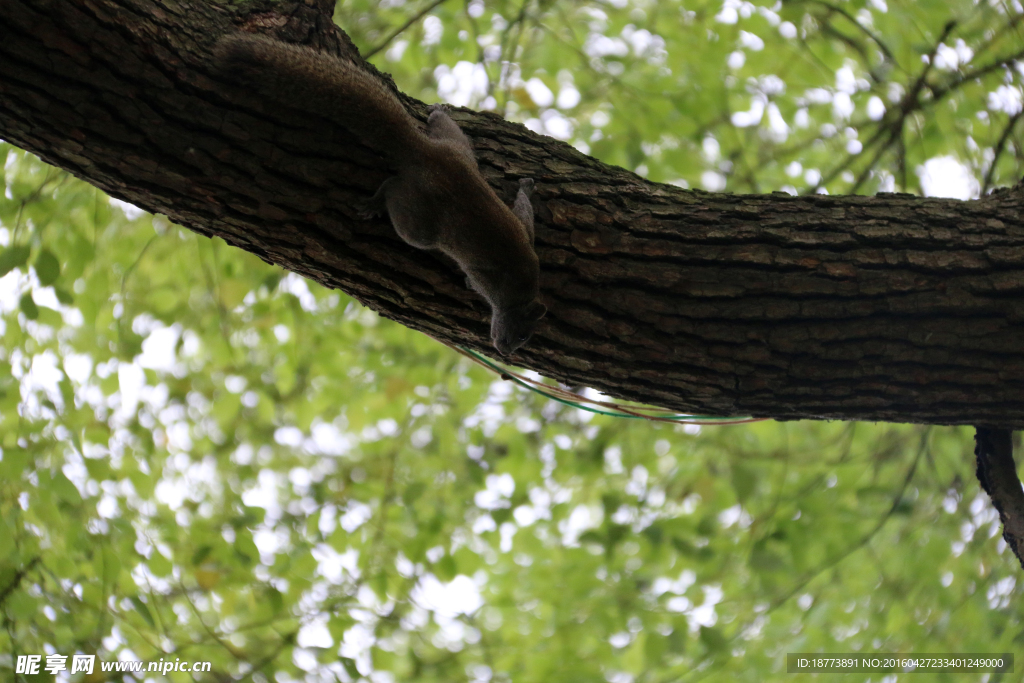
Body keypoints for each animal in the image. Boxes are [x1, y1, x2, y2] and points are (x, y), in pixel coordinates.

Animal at [212, 34, 548, 356]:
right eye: (522, 335)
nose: (505, 351)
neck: (520, 292)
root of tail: (425, 155)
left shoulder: (525, 235)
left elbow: (524, 214)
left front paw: (525, 187)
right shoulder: (490, 280)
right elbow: (481, 271)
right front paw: (465, 280)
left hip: (458, 149)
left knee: (448, 132)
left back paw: (438, 114)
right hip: (419, 223)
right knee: (394, 189)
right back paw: (375, 203)